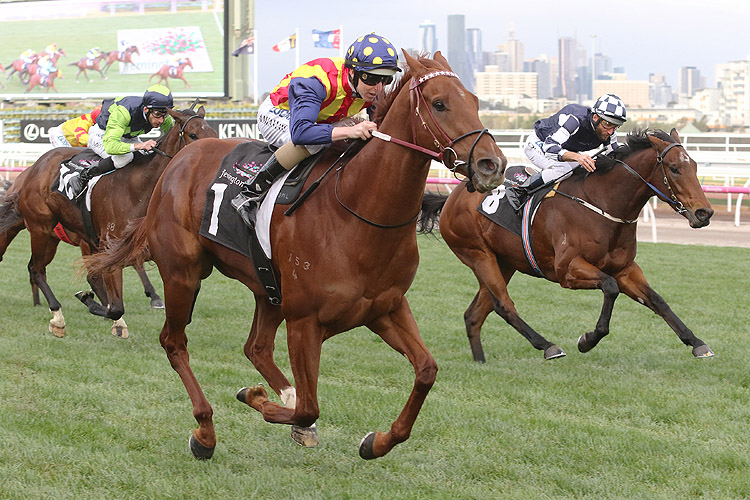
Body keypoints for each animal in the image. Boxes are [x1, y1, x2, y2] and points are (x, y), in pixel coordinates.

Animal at [0, 101, 217, 336]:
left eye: (214, 134)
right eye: (193, 135)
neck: (139, 187)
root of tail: (34, 169)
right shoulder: (109, 244)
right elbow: (115, 304)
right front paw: (94, 303)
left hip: (53, 237)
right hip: (40, 227)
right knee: (36, 269)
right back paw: (57, 317)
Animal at [88, 51, 508, 460]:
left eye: (474, 101)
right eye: (439, 104)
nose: (493, 165)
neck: (357, 212)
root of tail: (178, 162)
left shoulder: (385, 308)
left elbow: (426, 371)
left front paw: (376, 442)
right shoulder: (306, 321)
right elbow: (309, 406)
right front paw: (256, 397)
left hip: (266, 287)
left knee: (256, 348)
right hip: (183, 274)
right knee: (175, 343)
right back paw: (205, 432)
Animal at [424, 128, 716, 364]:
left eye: (695, 166)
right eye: (674, 168)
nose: (704, 213)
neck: (602, 204)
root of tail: (452, 198)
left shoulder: (625, 269)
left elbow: (657, 300)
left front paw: (697, 343)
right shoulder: (567, 270)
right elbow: (610, 287)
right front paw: (587, 340)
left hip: (505, 262)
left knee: (476, 313)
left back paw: (480, 361)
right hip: (478, 255)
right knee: (503, 305)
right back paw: (548, 346)